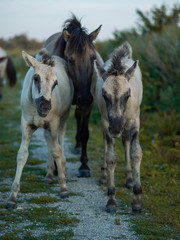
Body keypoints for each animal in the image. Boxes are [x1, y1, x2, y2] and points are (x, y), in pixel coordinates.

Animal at [5, 48, 73, 208]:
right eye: (36, 78)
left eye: (55, 83)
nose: (45, 107)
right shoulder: (26, 124)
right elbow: (22, 155)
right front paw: (12, 197)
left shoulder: (54, 122)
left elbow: (57, 151)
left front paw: (63, 188)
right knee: (48, 141)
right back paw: (49, 174)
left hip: (64, 117)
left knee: (60, 139)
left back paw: (62, 168)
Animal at [43, 14, 103, 176]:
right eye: (70, 60)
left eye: (93, 58)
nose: (85, 97)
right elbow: (56, 135)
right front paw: (56, 167)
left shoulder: (88, 105)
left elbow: (84, 133)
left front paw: (84, 166)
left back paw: (77, 147)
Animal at [95, 42, 143, 213]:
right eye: (104, 95)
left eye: (127, 94)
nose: (116, 128)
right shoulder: (106, 124)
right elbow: (111, 157)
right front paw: (111, 199)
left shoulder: (135, 123)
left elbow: (136, 153)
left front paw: (137, 199)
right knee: (106, 141)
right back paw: (104, 176)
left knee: (126, 141)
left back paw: (129, 178)